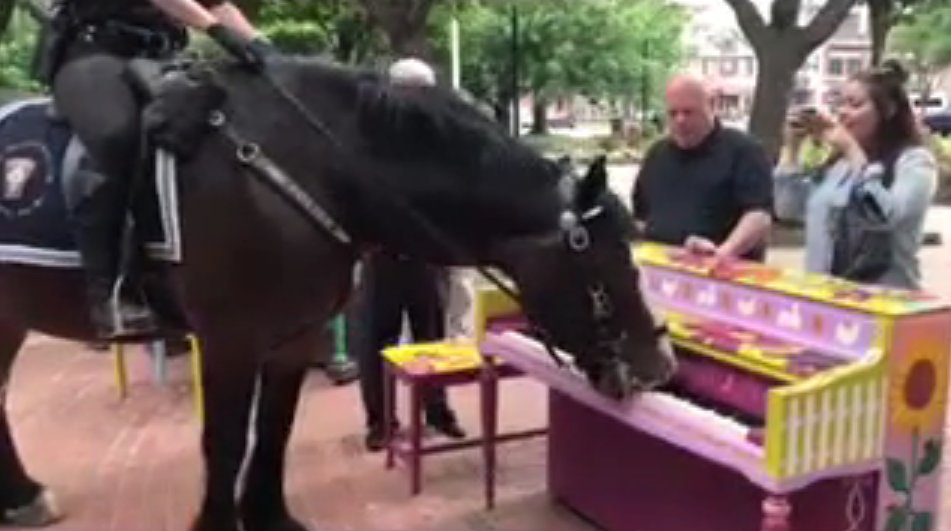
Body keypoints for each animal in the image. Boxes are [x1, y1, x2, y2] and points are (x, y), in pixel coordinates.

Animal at [0, 57, 676, 531]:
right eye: (604, 256)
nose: (659, 364)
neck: (308, 169)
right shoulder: (229, 342)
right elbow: (224, 442)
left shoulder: (293, 338)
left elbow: (273, 430)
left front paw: (270, 516)